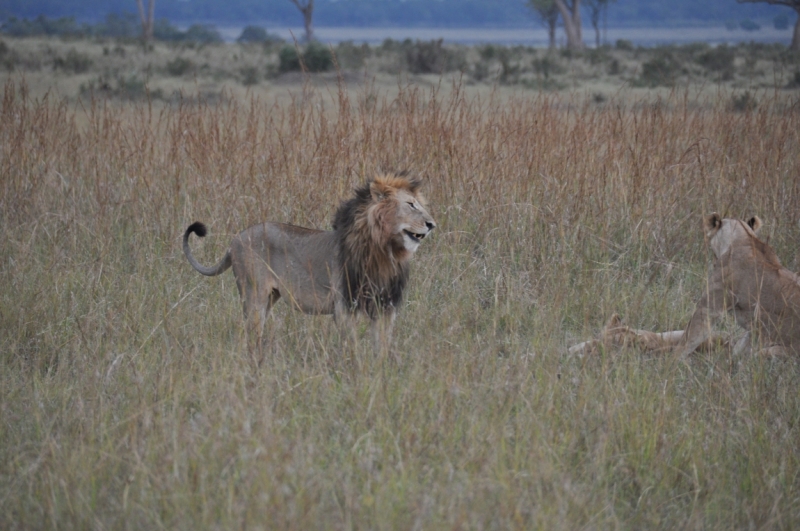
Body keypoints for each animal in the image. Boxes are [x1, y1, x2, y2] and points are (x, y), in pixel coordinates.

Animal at [182, 172, 434, 352]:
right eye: (411, 205)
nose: (432, 224)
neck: (385, 251)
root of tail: (234, 240)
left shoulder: (385, 304)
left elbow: (382, 344)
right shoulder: (345, 305)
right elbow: (351, 345)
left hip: (270, 297)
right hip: (254, 293)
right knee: (250, 332)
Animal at [680, 213, 800, 358]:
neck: (743, 238)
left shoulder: (711, 306)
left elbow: (688, 339)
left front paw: (672, 360)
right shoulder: (753, 326)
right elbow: (740, 348)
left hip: (772, 352)